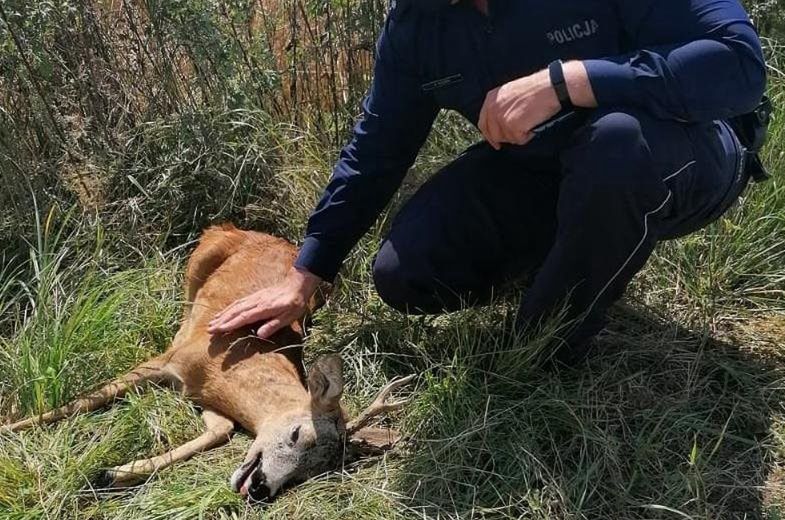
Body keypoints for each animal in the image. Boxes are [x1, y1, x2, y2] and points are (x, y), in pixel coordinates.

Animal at [1, 223, 416, 500]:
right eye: (298, 433)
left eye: (311, 472)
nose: (262, 487)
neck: (227, 370)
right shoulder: (167, 360)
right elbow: (83, 400)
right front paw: (10, 427)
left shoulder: (203, 396)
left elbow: (221, 431)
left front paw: (109, 474)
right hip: (203, 252)